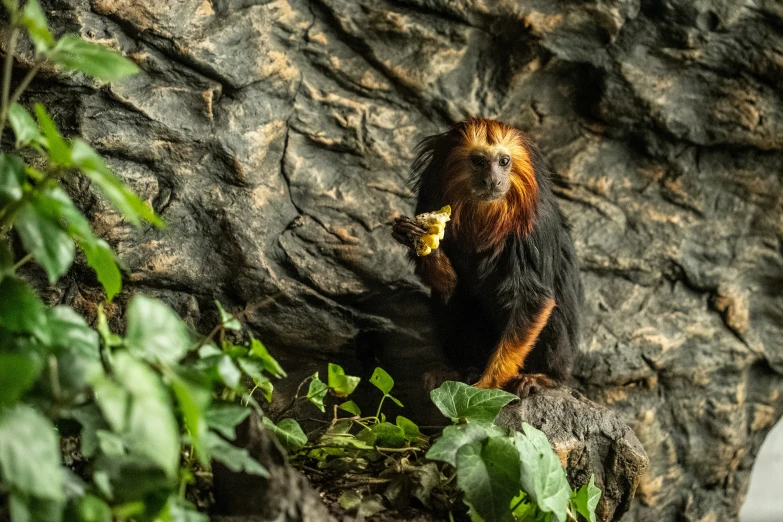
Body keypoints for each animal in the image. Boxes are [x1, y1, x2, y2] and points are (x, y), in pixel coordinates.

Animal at [392, 118, 580, 394]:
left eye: (503, 161)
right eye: (479, 161)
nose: (492, 180)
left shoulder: (535, 226)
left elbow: (534, 300)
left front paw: (487, 386)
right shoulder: (431, 197)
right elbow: (450, 285)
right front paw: (420, 236)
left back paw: (545, 377)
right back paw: (461, 369)